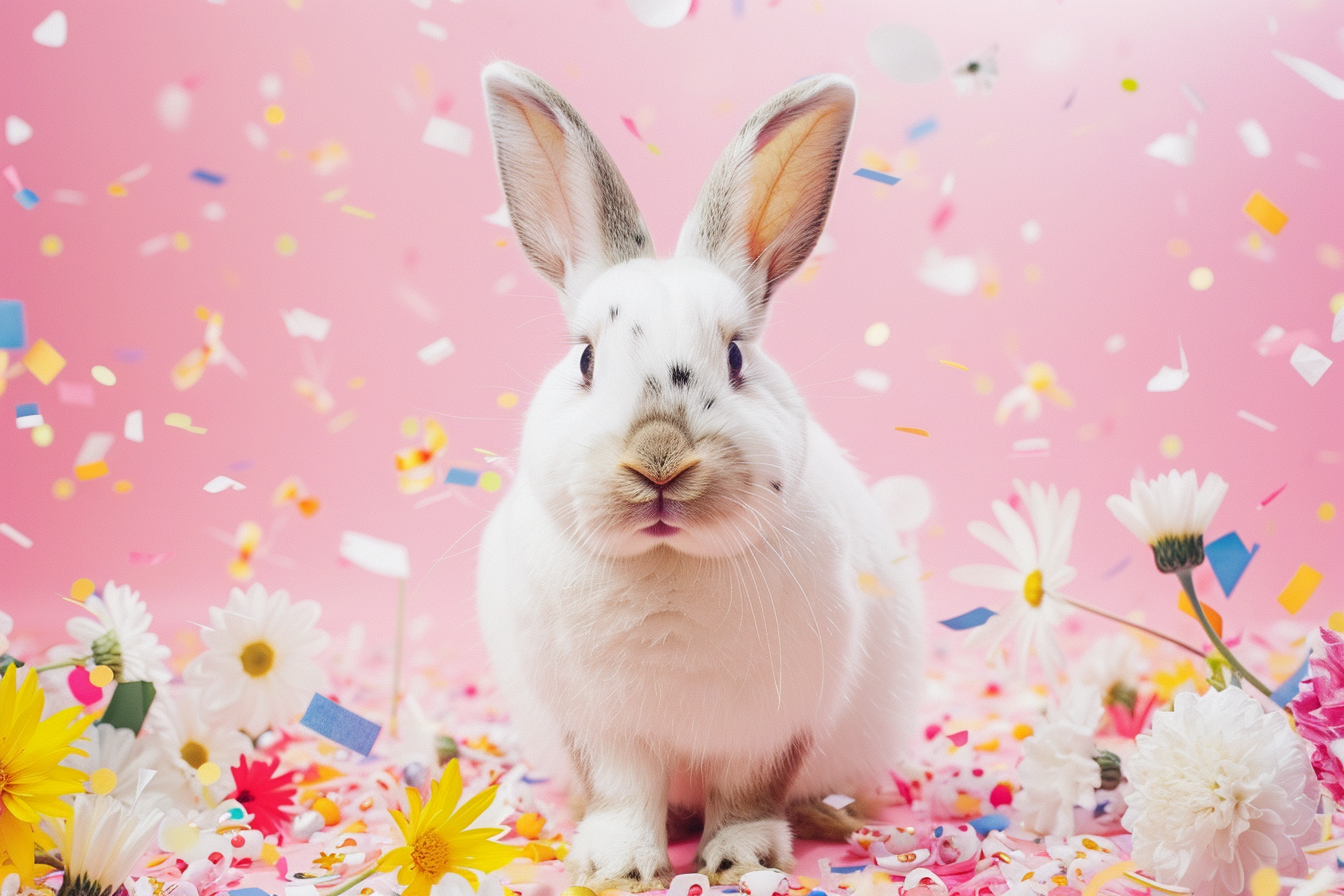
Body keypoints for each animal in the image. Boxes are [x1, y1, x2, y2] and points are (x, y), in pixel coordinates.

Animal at [476, 62, 924, 892]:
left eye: (738, 356)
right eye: (586, 359)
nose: (659, 459)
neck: (667, 561)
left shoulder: (772, 727)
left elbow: (748, 792)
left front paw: (742, 856)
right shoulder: (600, 729)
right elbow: (622, 794)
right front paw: (619, 863)